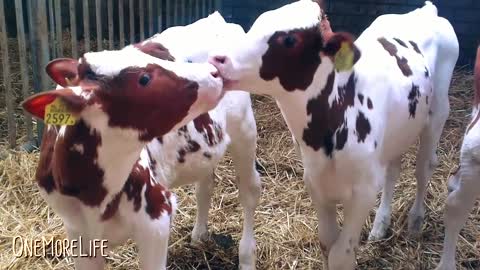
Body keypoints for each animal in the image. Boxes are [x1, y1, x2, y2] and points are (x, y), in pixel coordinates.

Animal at [21, 47, 224, 268]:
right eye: (144, 79)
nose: (214, 72)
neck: (95, 196)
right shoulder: (79, 235)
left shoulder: (156, 217)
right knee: (205, 186)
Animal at [210, 1, 458, 268]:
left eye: (290, 40)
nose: (218, 58)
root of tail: (425, 11)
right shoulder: (316, 182)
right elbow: (327, 244)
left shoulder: (363, 192)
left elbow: (341, 255)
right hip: (398, 134)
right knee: (393, 170)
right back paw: (380, 225)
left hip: (437, 113)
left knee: (424, 168)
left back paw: (415, 221)